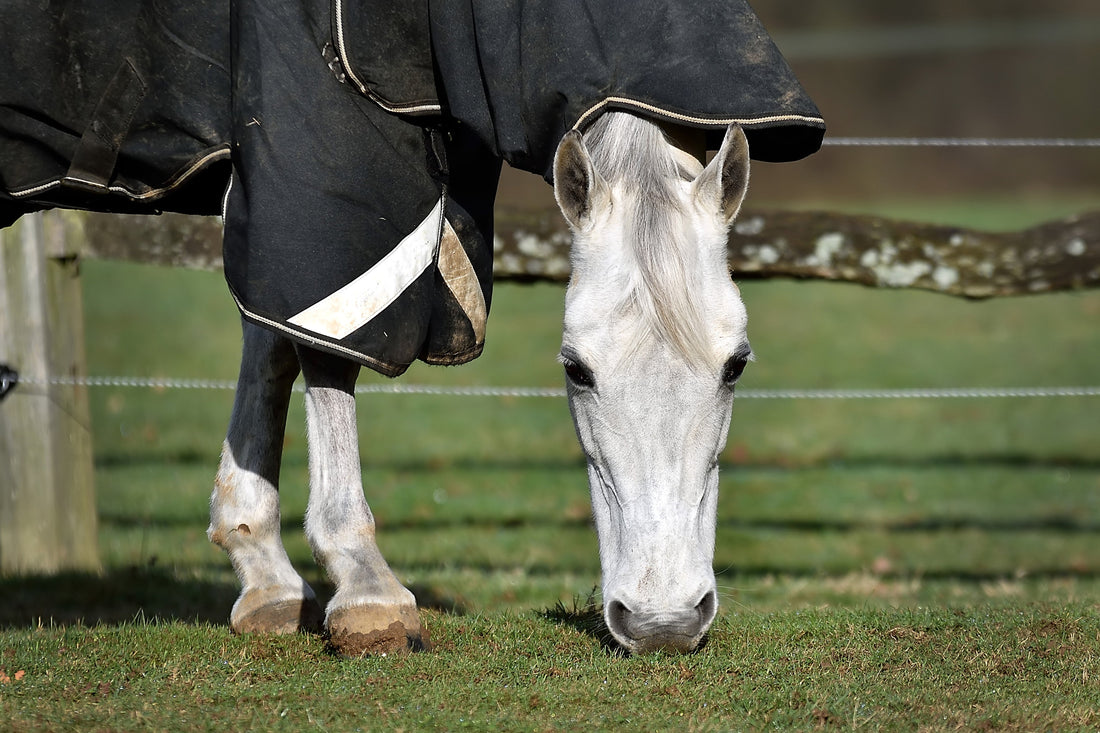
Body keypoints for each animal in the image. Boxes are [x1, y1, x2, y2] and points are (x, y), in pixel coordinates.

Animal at [206, 110, 752, 656]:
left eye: (737, 365)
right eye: (575, 369)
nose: (663, 623)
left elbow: (274, 328)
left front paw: (265, 563)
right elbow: (324, 339)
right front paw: (366, 589)